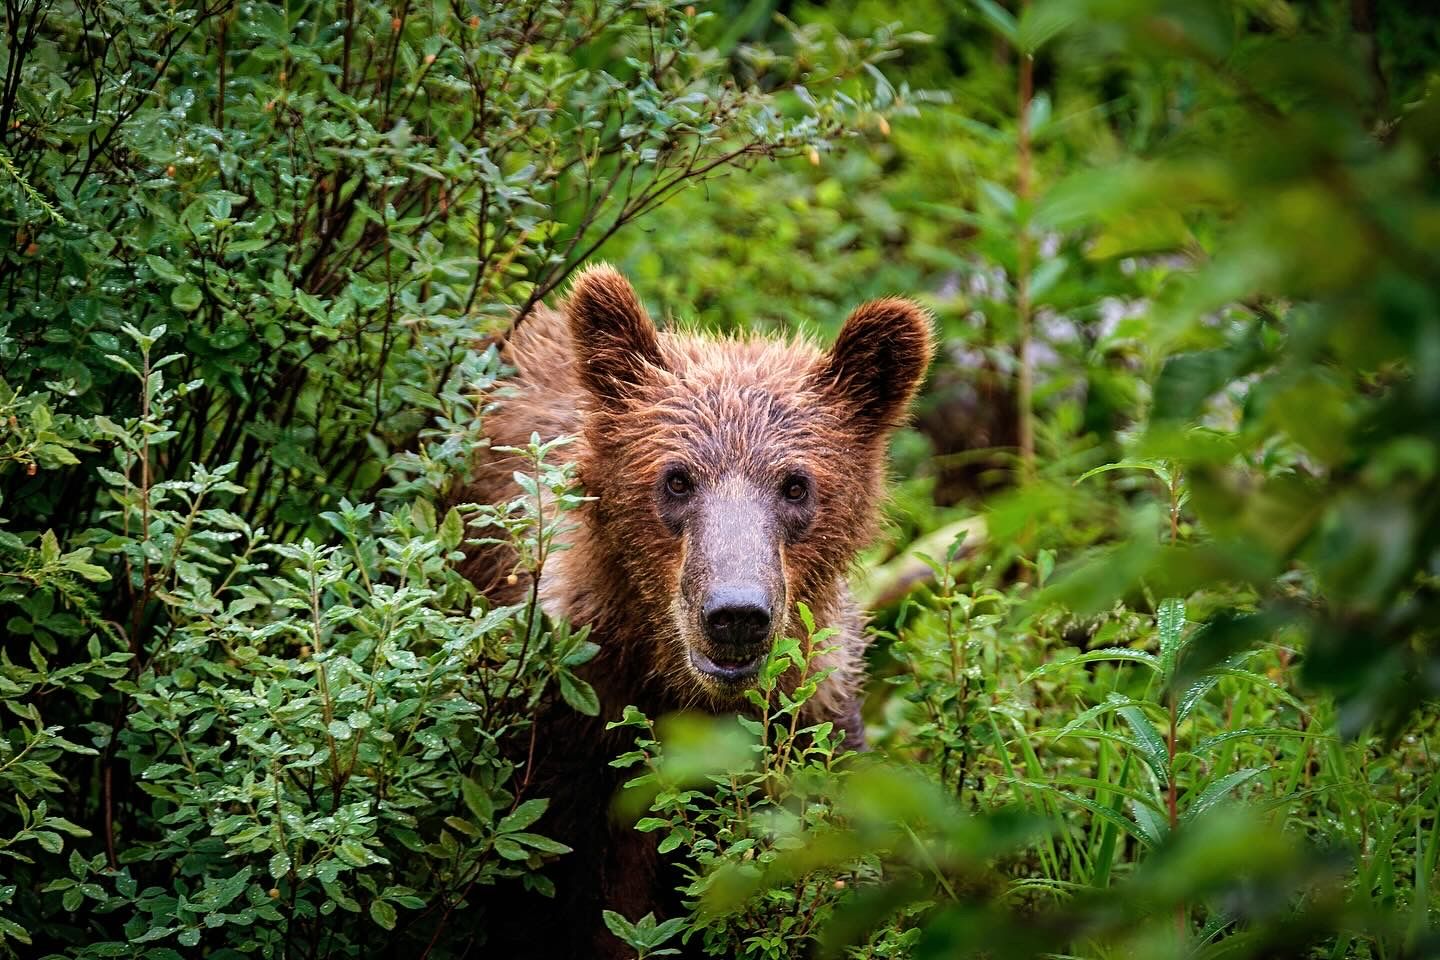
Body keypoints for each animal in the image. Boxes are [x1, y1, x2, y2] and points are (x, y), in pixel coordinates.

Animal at [459, 264, 932, 957]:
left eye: (796, 485)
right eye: (677, 479)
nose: (736, 614)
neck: (683, 693)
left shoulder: (810, 722)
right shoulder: (570, 739)